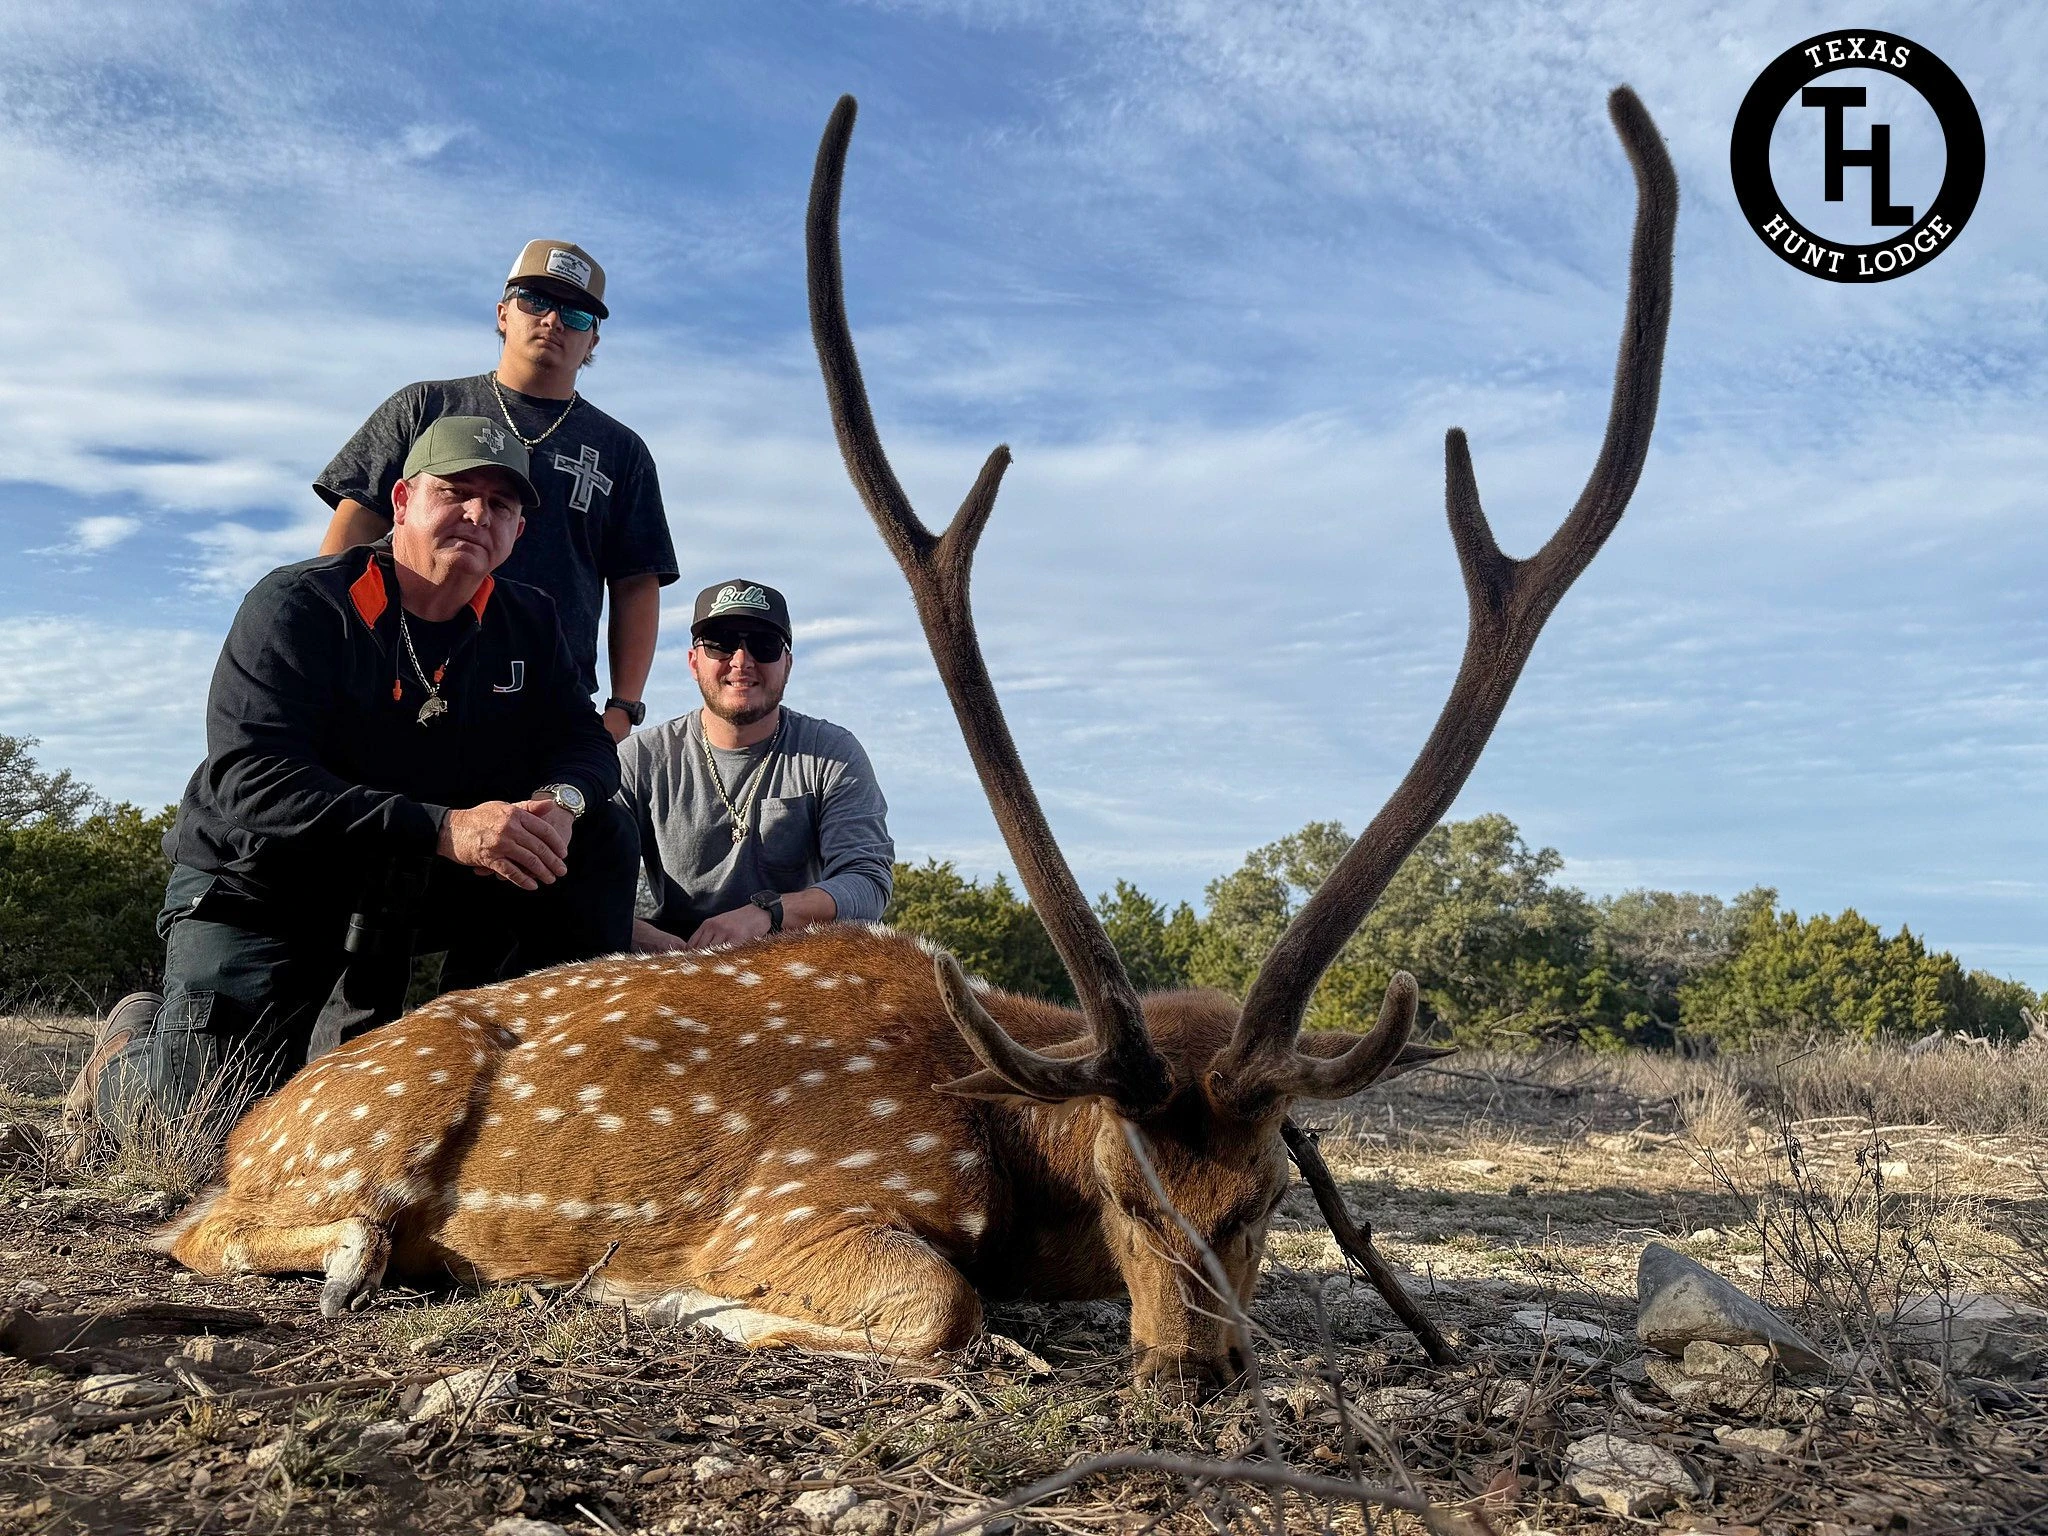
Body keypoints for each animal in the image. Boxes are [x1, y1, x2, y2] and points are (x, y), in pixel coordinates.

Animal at [155, 87, 1676, 1392]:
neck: (1006, 1131)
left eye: (1262, 1199)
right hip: (371, 1113)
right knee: (219, 1226)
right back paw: (366, 1256)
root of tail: (253, 1121)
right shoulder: (811, 1195)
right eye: (1123, 1186)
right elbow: (940, 1303)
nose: (1190, 1367)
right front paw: (681, 1298)